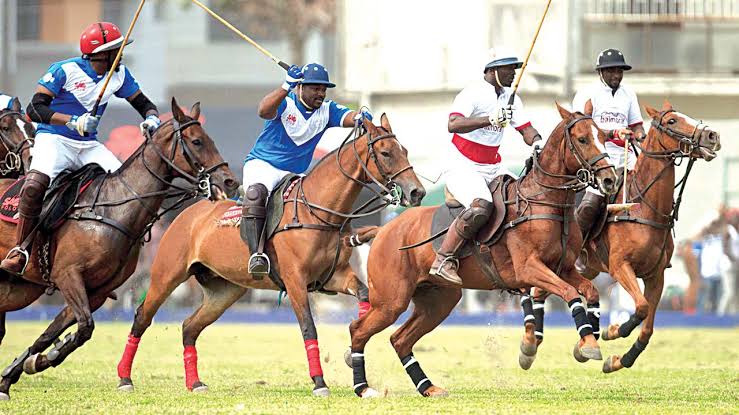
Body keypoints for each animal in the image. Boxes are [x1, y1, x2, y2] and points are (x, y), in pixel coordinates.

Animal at [0, 97, 238, 400]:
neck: (112, 210)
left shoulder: (97, 291)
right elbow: (84, 327)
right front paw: (42, 359)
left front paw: (21, 369)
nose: (231, 181)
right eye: (196, 141)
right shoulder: (68, 275)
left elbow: (56, 333)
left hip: (19, 289)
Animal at [115, 113, 428, 396]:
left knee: (190, 326)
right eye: (386, 153)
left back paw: (195, 383)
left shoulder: (335, 277)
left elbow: (363, 295)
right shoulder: (295, 281)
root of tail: (189, 212)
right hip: (167, 276)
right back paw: (124, 379)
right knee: (143, 317)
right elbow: (308, 328)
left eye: (404, 150)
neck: (319, 211)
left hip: (225, 290)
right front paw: (319, 383)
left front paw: (351, 353)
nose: (417, 192)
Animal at [346, 104, 620, 400]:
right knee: (358, 330)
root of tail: (383, 230)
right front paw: (588, 343)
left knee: (400, 339)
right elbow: (570, 293)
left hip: (439, 300)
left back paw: (428, 387)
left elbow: (590, 291)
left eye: (604, 136)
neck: (545, 201)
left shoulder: (565, 268)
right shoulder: (529, 269)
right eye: (582, 139)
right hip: (390, 300)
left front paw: (587, 340)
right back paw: (363, 387)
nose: (610, 179)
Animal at [524, 101, 724, 374]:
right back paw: (533, 343)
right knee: (539, 291)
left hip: (584, 269)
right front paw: (614, 330)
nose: (712, 136)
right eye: (671, 121)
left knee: (540, 292)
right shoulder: (620, 266)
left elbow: (647, 326)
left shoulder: (656, 275)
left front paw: (618, 361)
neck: (646, 208)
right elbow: (640, 307)